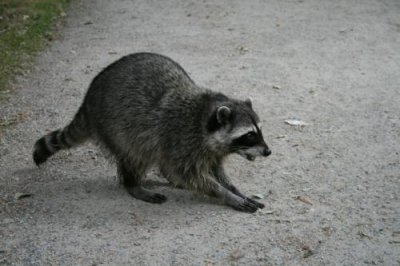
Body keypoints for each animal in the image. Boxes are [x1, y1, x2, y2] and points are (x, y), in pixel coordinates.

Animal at [33, 53, 272, 213]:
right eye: (249, 135)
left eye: (259, 131)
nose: (268, 151)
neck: (204, 114)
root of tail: (88, 99)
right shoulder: (182, 139)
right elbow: (196, 176)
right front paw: (226, 195)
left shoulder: (211, 151)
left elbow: (216, 172)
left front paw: (234, 189)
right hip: (117, 127)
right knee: (135, 155)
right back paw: (133, 184)